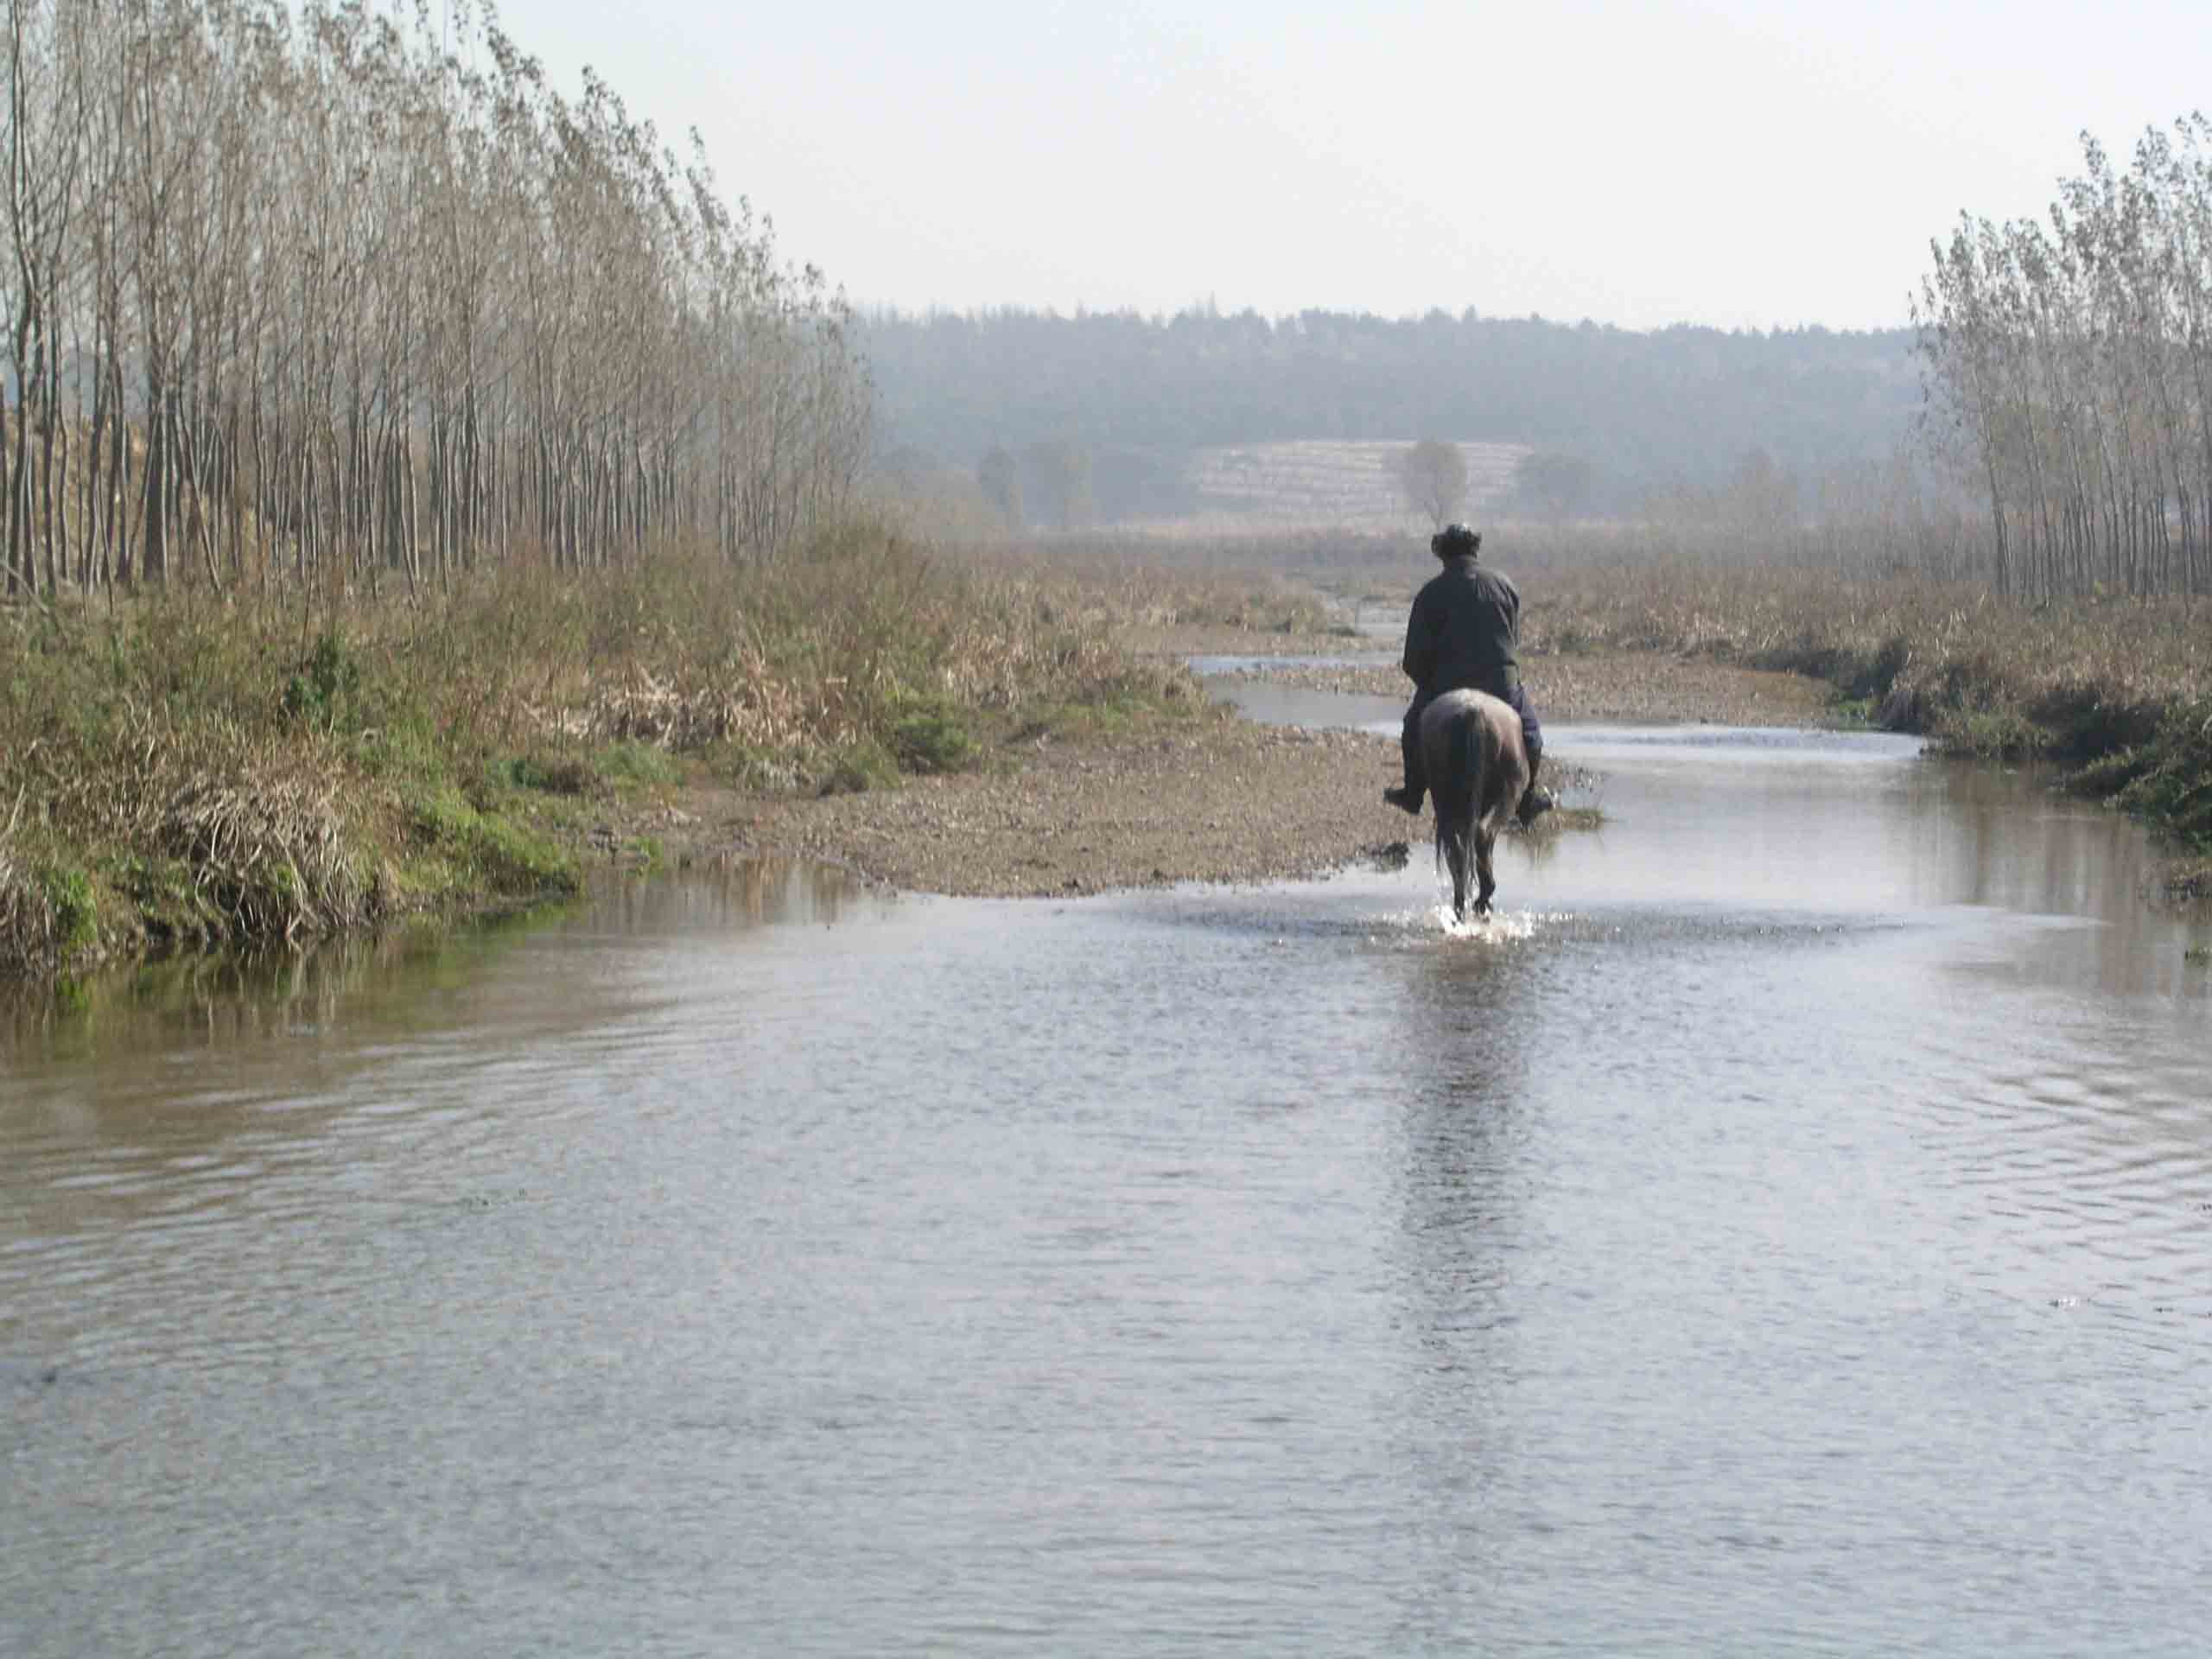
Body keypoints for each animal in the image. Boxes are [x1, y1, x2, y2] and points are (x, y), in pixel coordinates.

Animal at [1424, 690, 1530, 925]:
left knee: (1459, 851)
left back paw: (1462, 908)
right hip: (1506, 796)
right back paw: (1481, 900)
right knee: (1481, 836)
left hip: (1448, 802)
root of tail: (1473, 713)